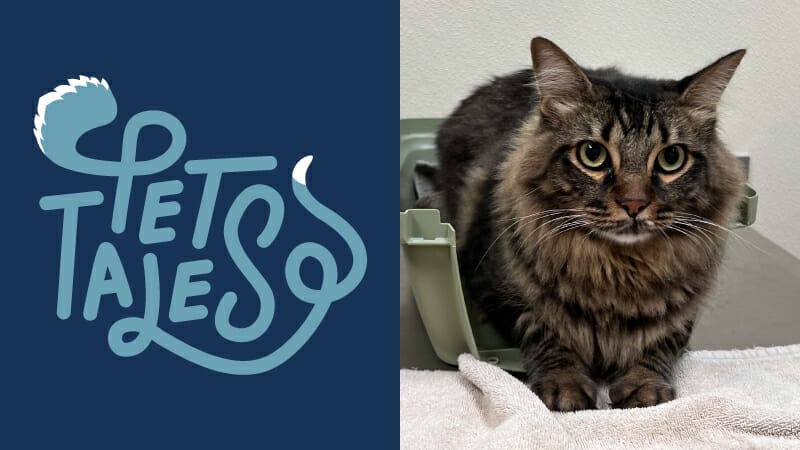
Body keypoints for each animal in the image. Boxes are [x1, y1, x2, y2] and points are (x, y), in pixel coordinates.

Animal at [434, 37, 748, 412]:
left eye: (671, 158)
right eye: (592, 154)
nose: (634, 204)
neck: (620, 269)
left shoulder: (685, 305)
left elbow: (663, 340)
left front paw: (645, 386)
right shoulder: (496, 286)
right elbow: (544, 328)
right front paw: (565, 384)